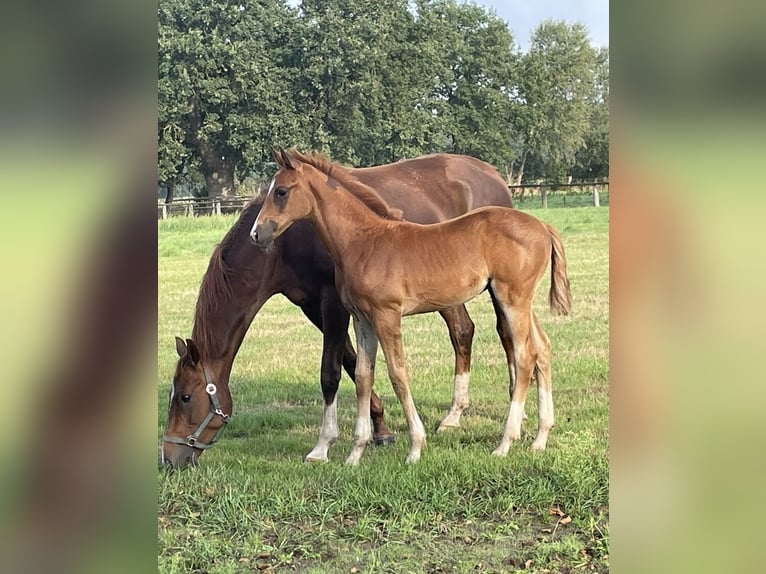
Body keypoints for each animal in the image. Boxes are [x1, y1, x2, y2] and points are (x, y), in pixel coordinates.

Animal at [161, 152, 515, 468]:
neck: (286, 245)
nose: (169, 459)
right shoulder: (316, 307)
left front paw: (323, 445)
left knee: (504, 336)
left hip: (495, 291)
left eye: (185, 397)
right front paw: (379, 429)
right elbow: (354, 363)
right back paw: (459, 414)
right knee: (464, 330)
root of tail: (493, 174)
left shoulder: (332, 302)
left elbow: (330, 373)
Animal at [251, 148, 571, 465]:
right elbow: (363, 377)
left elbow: (398, 374)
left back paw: (505, 442)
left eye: (280, 191)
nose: (256, 233)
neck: (363, 241)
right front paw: (356, 453)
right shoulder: (362, 319)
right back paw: (540, 438)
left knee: (524, 355)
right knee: (542, 347)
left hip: (510, 298)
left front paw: (415, 447)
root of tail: (543, 226)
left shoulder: (387, 315)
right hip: (520, 300)